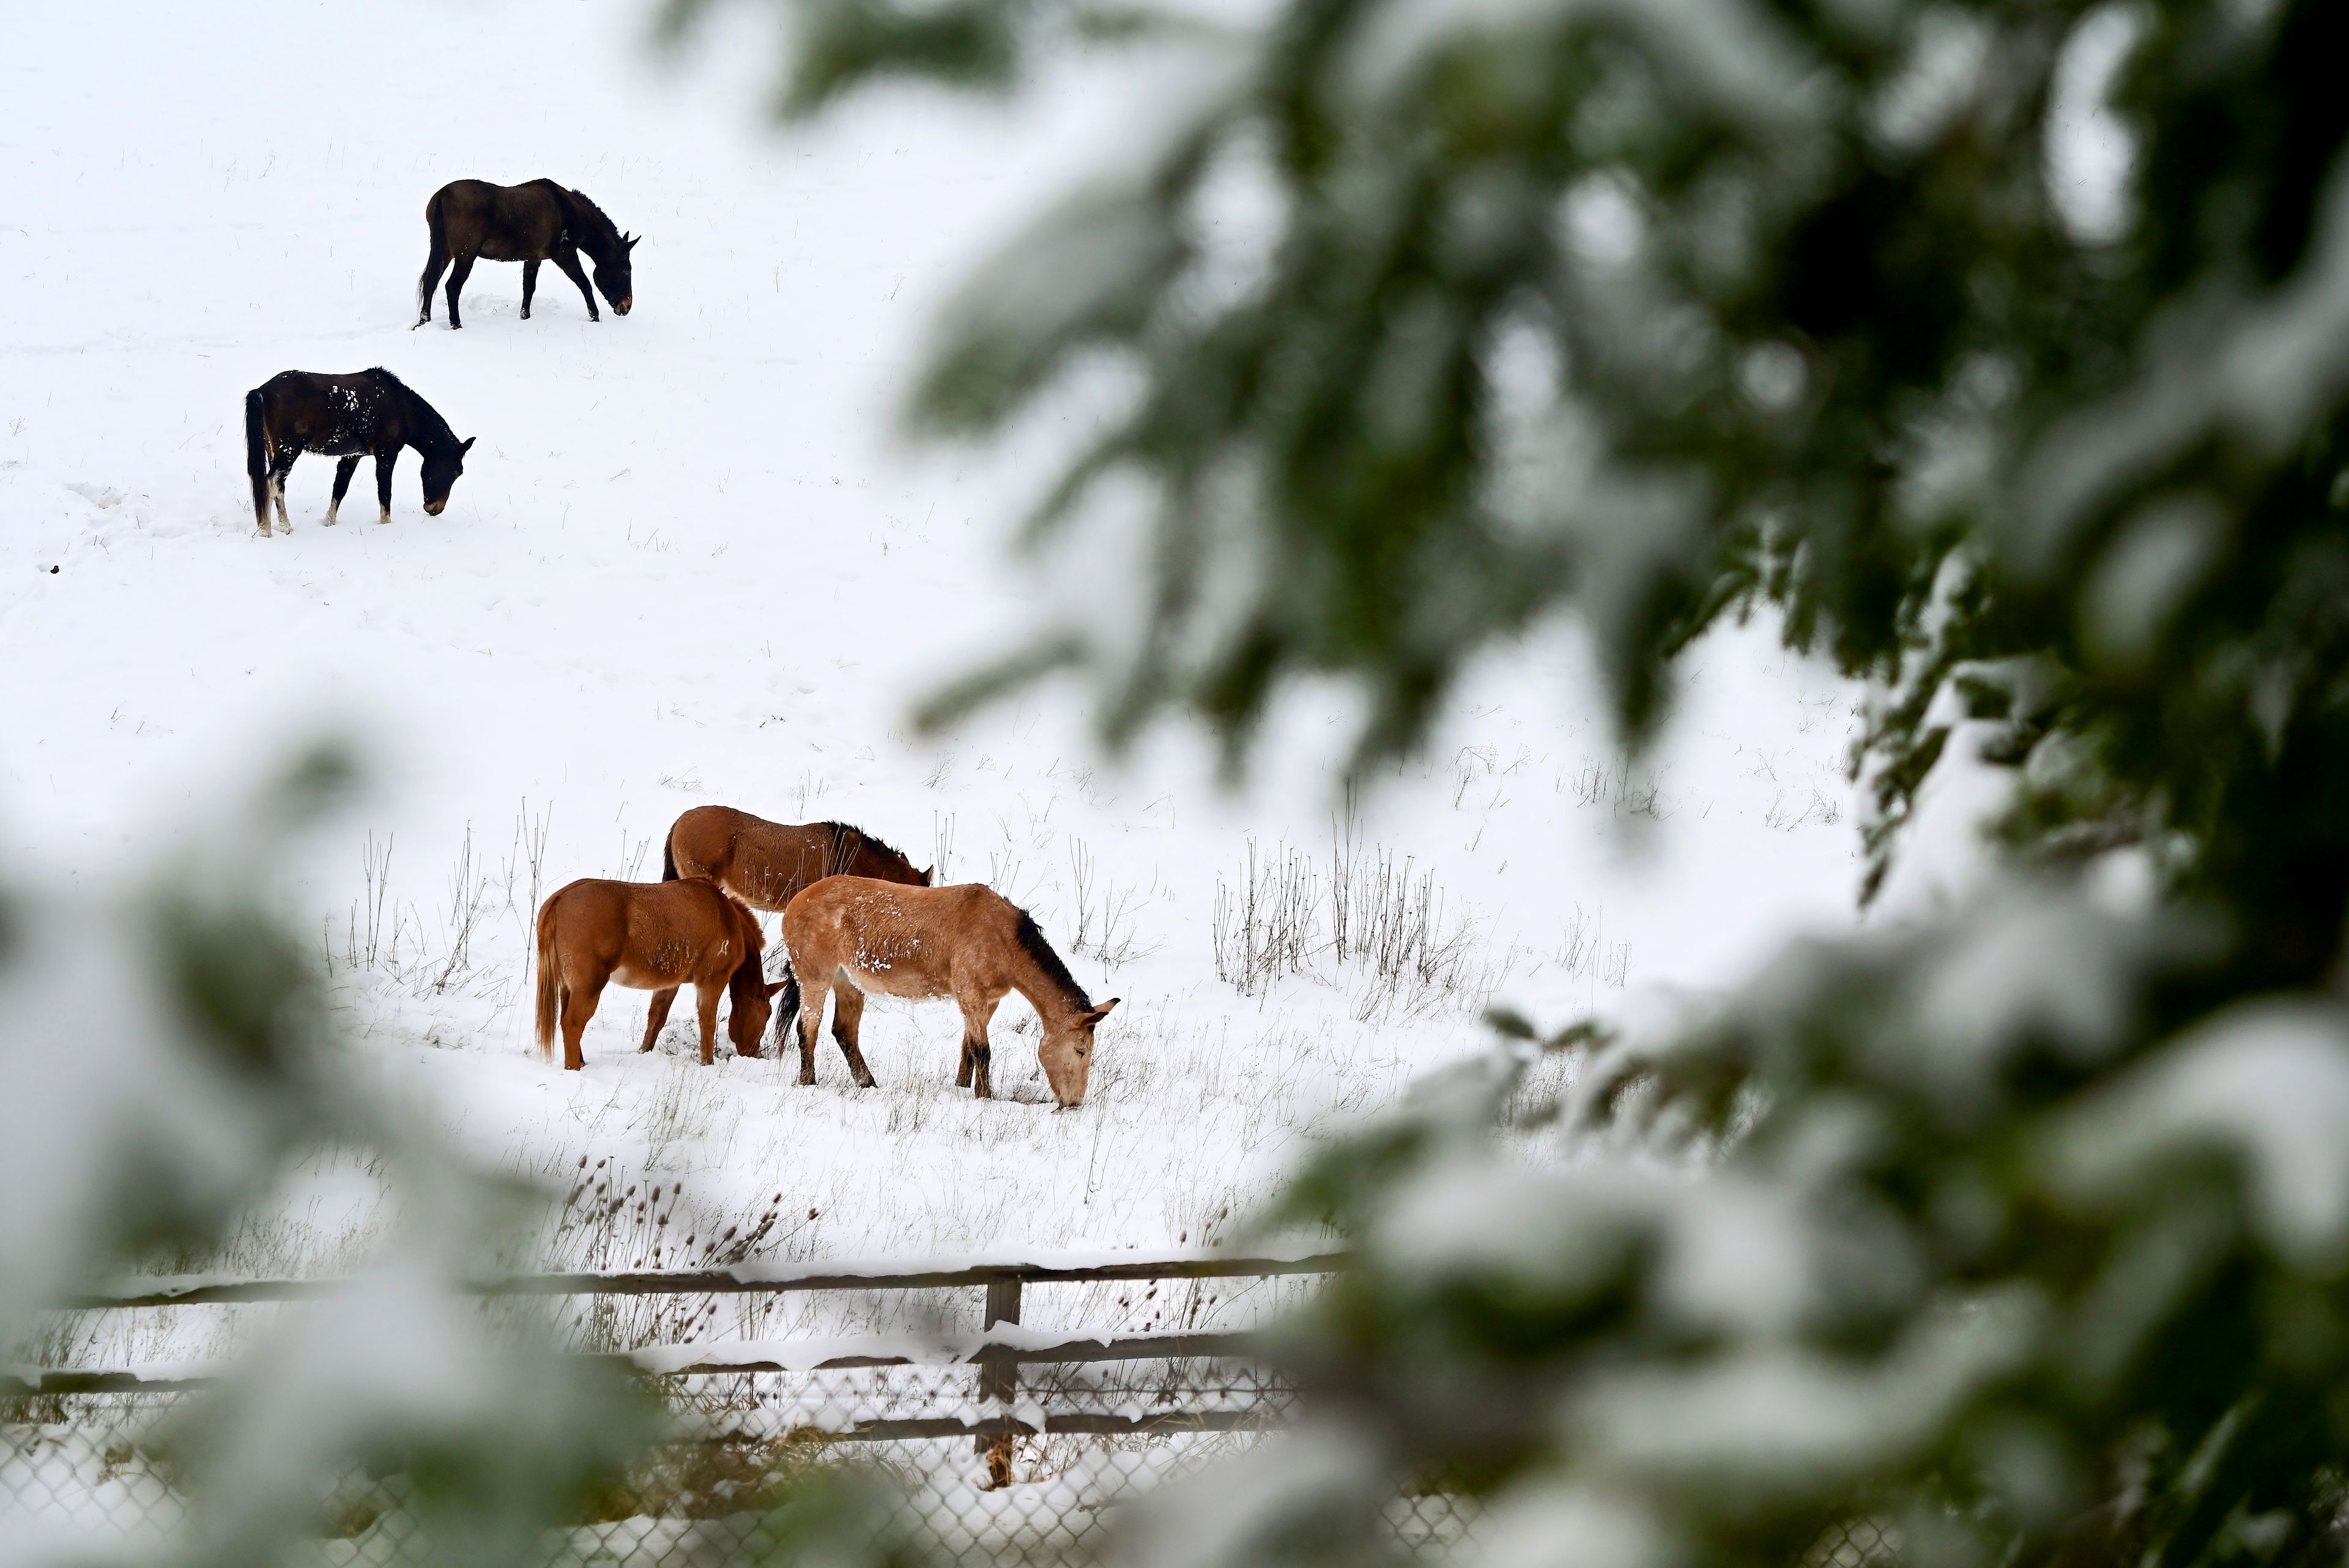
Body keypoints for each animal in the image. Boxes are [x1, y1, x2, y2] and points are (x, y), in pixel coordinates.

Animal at [243, 369, 472, 536]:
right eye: (456, 473)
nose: (435, 509)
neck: (401, 407)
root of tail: (262, 391)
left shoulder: (352, 456)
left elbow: (339, 490)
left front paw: (328, 523)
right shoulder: (387, 454)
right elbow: (385, 493)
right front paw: (386, 525)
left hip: (274, 451)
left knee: (275, 486)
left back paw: (277, 527)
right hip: (289, 451)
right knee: (272, 483)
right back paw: (271, 530)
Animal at [413, 176, 634, 327]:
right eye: (626, 269)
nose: (626, 306)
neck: (572, 215)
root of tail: (442, 196)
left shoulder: (534, 257)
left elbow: (529, 287)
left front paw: (524, 316)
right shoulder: (564, 254)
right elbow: (585, 283)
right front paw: (595, 316)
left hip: (444, 250)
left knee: (431, 281)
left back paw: (424, 320)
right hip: (466, 254)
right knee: (452, 286)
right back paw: (456, 324)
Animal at [529, 879, 775, 1072]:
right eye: (766, 1015)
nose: (755, 1054)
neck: (727, 916)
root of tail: (559, 899)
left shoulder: (670, 984)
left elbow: (656, 1020)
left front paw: (643, 1052)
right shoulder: (711, 981)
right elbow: (708, 1023)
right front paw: (707, 1064)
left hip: (568, 987)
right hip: (589, 986)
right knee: (572, 1024)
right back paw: (574, 1068)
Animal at [775, 879, 1123, 1109]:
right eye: (1080, 1050)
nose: (1074, 1103)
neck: (1001, 938)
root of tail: (797, 900)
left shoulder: (987, 1002)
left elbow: (969, 1048)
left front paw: (963, 1087)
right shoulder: (972, 997)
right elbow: (983, 1051)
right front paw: (986, 1098)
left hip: (848, 984)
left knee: (844, 1032)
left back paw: (868, 1084)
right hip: (816, 979)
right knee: (808, 1029)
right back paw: (809, 1082)